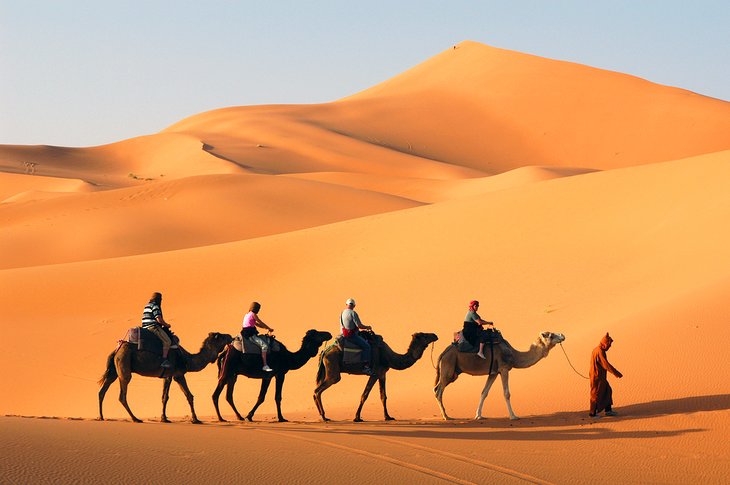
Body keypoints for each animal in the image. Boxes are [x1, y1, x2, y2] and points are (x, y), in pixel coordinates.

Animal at [97, 330, 230, 422]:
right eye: (221, 336)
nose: (230, 336)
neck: (186, 359)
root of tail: (116, 350)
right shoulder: (177, 375)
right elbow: (186, 396)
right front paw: (195, 419)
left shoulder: (169, 376)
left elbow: (166, 397)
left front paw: (165, 418)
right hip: (124, 364)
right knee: (122, 395)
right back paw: (136, 418)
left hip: (114, 370)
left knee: (102, 391)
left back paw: (101, 417)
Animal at [432, 328, 564, 420]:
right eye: (550, 335)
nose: (563, 335)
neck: (514, 355)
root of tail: (443, 353)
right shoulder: (504, 368)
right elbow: (506, 393)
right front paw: (513, 416)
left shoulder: (494, 373)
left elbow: (484, 392)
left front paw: (478, 415)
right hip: (448, 367)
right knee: (438, 391)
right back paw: (446, 417)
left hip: (453, 372)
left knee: (437, 389)